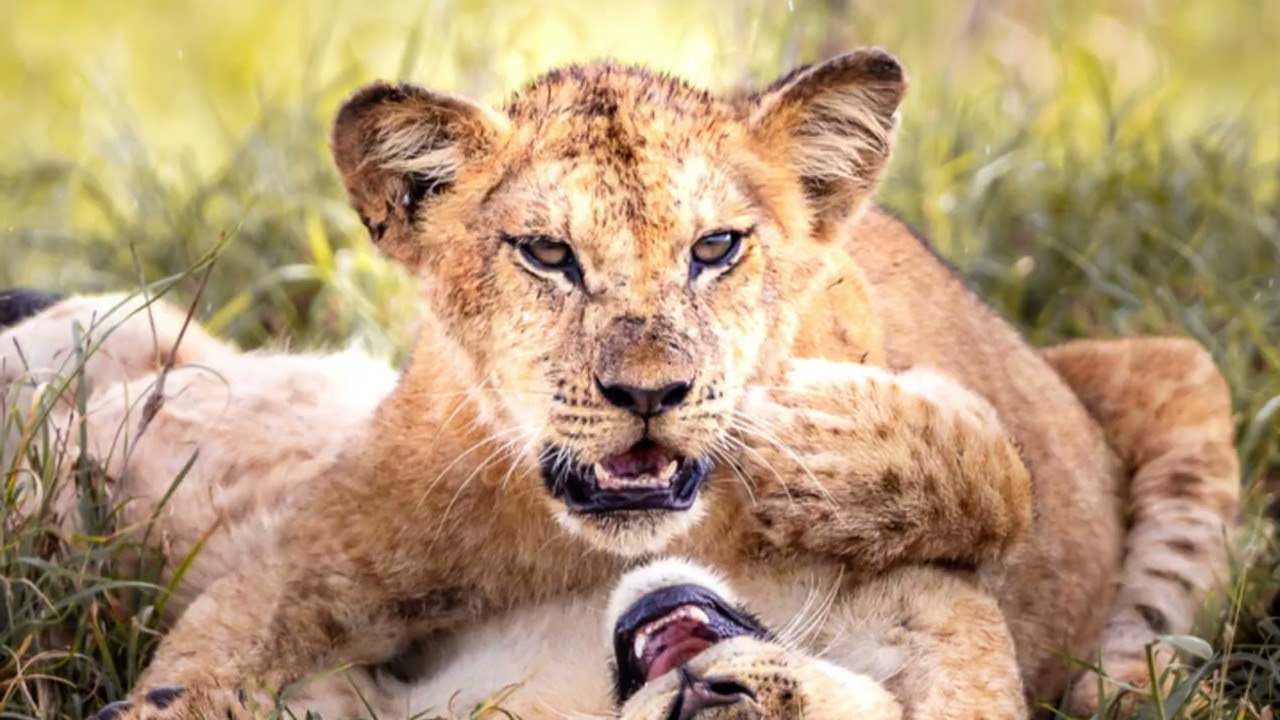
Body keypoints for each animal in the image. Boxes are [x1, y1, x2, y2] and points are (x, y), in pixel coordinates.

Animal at [1, 46, 1238, 719]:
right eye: (546, 254)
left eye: (716, 248)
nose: (651, 393)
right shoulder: (308, 571)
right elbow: (196, 667)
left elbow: (987, 471)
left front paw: (800, 445)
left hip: (1179, 374)